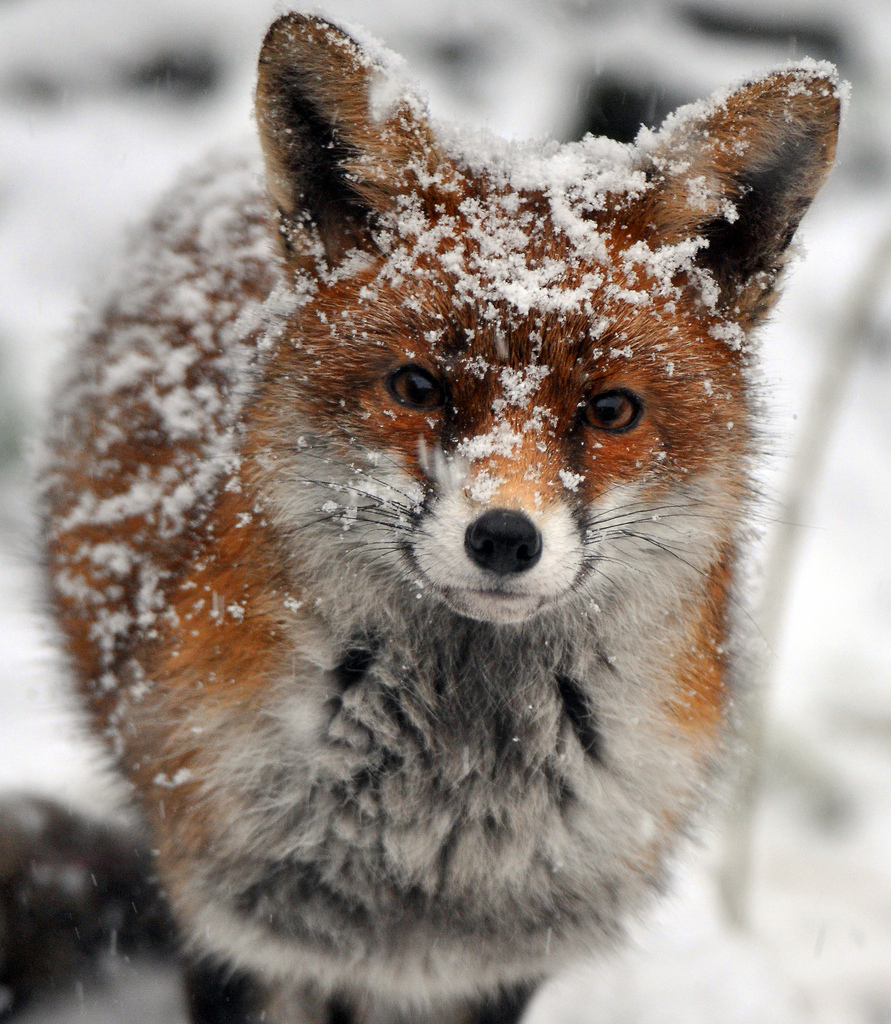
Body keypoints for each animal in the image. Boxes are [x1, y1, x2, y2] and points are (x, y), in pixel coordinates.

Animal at [24, 11, 840, 1024]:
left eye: (610, 410)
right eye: (416, 387)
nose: (504, 539)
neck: (443, 805)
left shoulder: (492, 962)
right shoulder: (234, 920)